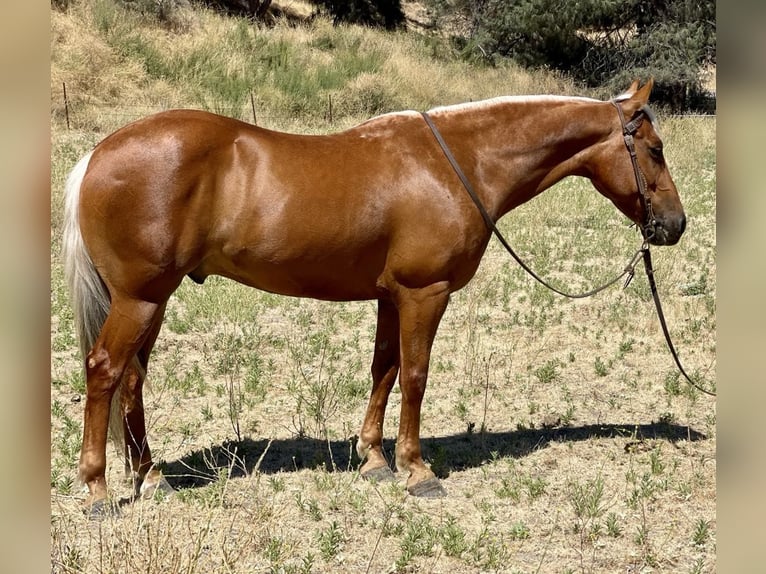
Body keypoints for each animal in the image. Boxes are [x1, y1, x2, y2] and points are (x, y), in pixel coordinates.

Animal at [62, 79, 685, 514]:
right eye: (654, 149)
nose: (675, 225)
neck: (459, 163)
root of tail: (97, 155)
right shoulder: (424, 293)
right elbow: (415, 375)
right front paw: (417, 471)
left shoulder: (392, 297)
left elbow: (384, 369)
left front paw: (375, 460)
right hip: (140, 298)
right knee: (105, 370)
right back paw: (97, 491)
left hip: (152, 300)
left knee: (132, 379)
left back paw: (151, 477)